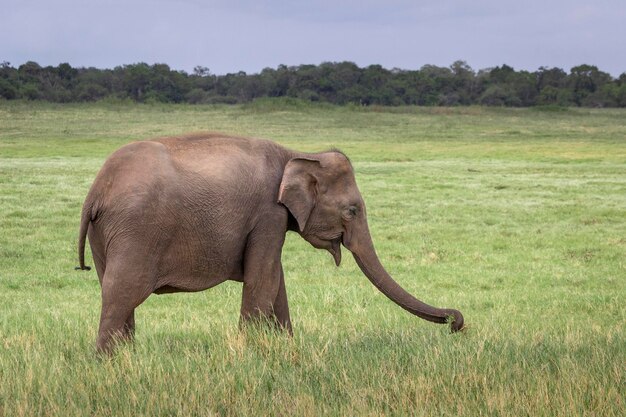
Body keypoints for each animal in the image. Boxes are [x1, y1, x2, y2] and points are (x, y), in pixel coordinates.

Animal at [75, 132, 460, 352]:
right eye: (352, 210)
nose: (457, 322)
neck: (298, 153)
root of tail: (96, 191)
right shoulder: (268, 214)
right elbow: (264, 277)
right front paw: (251, 353)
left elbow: (276, 279)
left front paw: (286, 349)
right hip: (135, 231)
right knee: (122, 292)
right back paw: (108, 364)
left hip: (106, 234)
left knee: (114, 291)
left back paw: (127, 359)